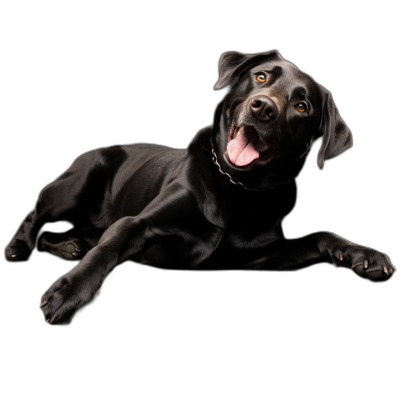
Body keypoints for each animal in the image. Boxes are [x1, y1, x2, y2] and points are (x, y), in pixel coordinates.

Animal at [4, 50, 396, 324]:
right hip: (75, 187)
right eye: (261, 76)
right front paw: (69, 292)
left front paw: (362, 254)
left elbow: (318, 234)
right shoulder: (138, 223)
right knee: (36, 216)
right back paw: (21, 247)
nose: (263, 108)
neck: (236, 186)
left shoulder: (254, 258)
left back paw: (67, 247)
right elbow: (106, 250)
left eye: (302, 106)